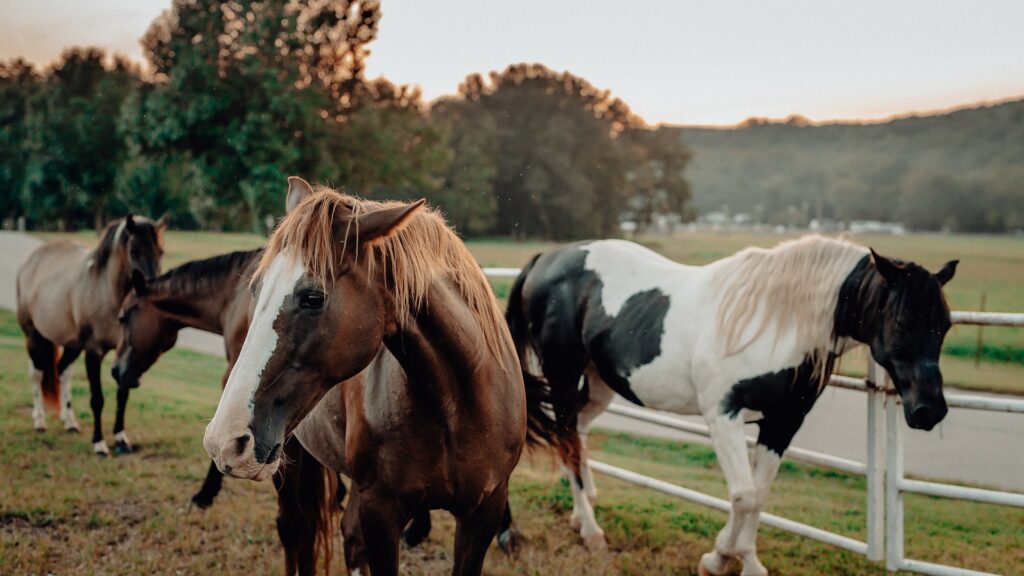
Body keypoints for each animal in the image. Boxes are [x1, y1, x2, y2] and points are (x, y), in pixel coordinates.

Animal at [16, 215, 165, 455]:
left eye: (160, 252)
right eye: (133, 252)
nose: (152, 293)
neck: (106, 294)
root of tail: (31, 259)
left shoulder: (125, 356)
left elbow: (122, 395)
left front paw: (121, 438)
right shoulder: (93, 352)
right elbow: (97, 399)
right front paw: (99, 443)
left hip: (72, 345)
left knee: (62, 371)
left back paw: (69, 422)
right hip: (34, 337)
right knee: (36, 374)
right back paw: (39, 420)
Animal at [203, 177, 526, 576]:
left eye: (313, 298)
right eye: (256, 290)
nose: (224, 441)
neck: (457, 406)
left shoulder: (483, 514)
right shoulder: (381, 512)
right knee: (295, 529)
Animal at [506, 236, 958, 576]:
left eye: (946, 325)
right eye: (902, 321)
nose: (929, 411)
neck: (777, 321)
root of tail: (545, 259)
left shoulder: (783, 423)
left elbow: (759, 495)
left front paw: (747, 561)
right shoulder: (723, 415)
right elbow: (743, 494)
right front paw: (717, 558)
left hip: (598, 385)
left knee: (577, 435)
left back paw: (581, 513)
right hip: (563, 377)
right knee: (567, 438)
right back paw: (592, 531)